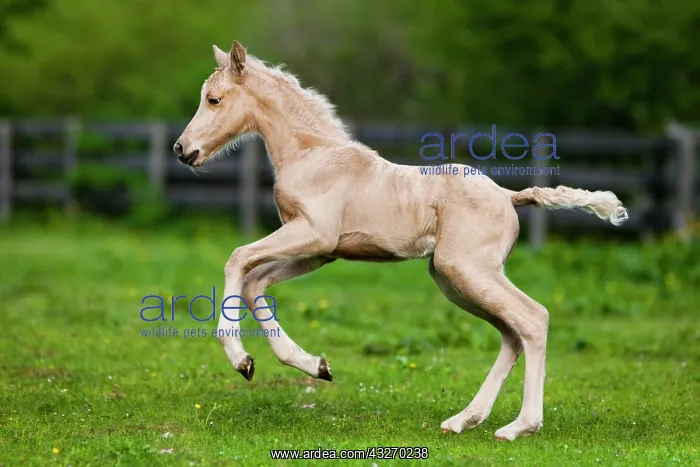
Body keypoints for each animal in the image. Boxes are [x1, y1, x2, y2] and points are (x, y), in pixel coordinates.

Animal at [174, 41, 629, 441]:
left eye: (214, 99)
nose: (182, 150)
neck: (313, 154)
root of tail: (508, 195)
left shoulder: (312, 234)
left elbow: (237, 259)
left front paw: (241, 359)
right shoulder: (320, 252)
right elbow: (254, 283)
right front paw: (313, 366)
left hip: (467, 271)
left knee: (533, 319)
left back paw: (519, 427)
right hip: (455, 280)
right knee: (511, 334)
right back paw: (464, 420)